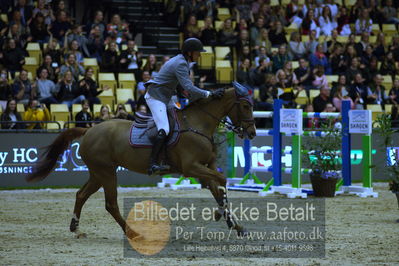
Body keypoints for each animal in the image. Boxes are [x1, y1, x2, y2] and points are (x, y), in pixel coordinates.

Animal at [26, 85, 256, 239]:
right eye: (245, 105)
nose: (252, 133)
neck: (197, 124)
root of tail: (89, 129)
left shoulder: (206, 167)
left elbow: (218, 189)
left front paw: (235, 225)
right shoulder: (192, 168)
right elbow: (223, 181)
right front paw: (220, 214)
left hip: (98, 173)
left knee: (81, 195)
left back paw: (76, 227)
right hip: (107, 173)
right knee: (110, 204)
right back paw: (132, 232)